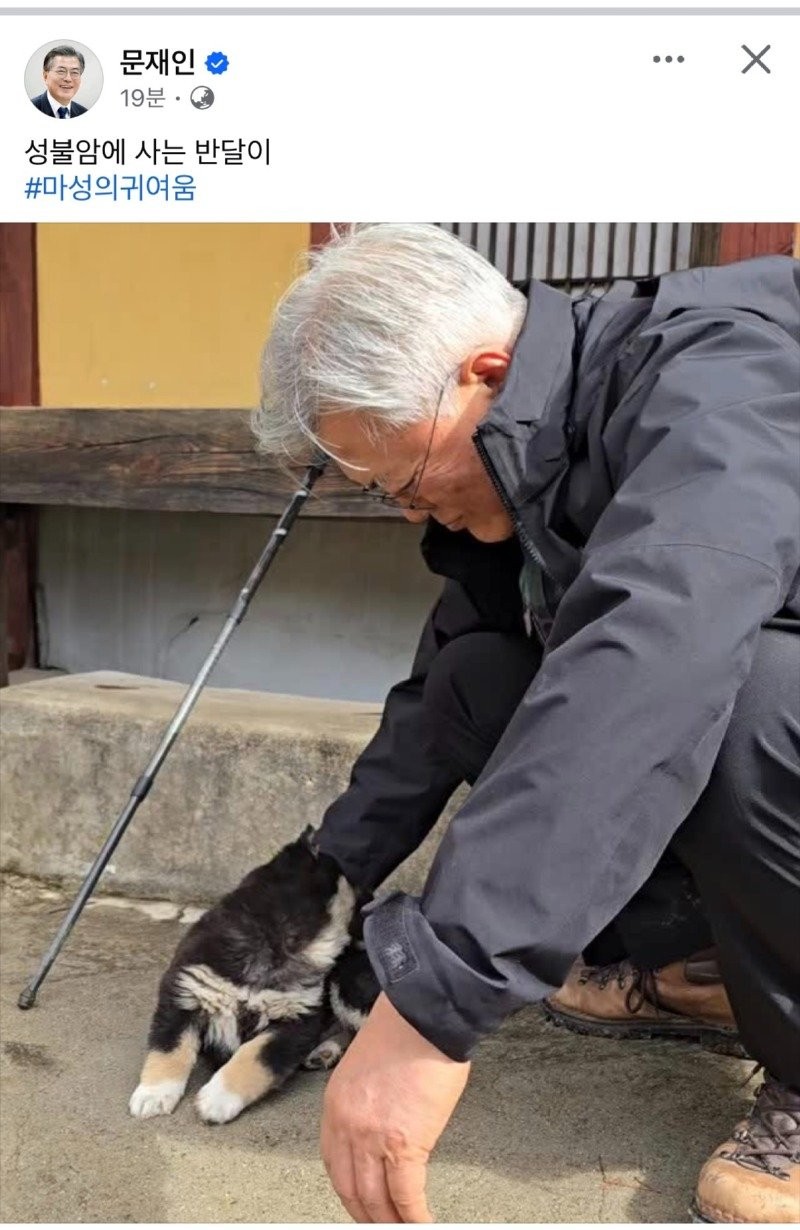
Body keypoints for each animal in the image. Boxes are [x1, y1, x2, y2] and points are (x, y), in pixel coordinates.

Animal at [129, 828, 379, 1124]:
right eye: (356, 883)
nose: (377, 898)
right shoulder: (184, 995)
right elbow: (169, 1049)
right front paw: (153, 1094)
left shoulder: (295, 1021)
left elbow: (252, 1058)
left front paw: (217, 1098)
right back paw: (324, 1051)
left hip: (347, 984)